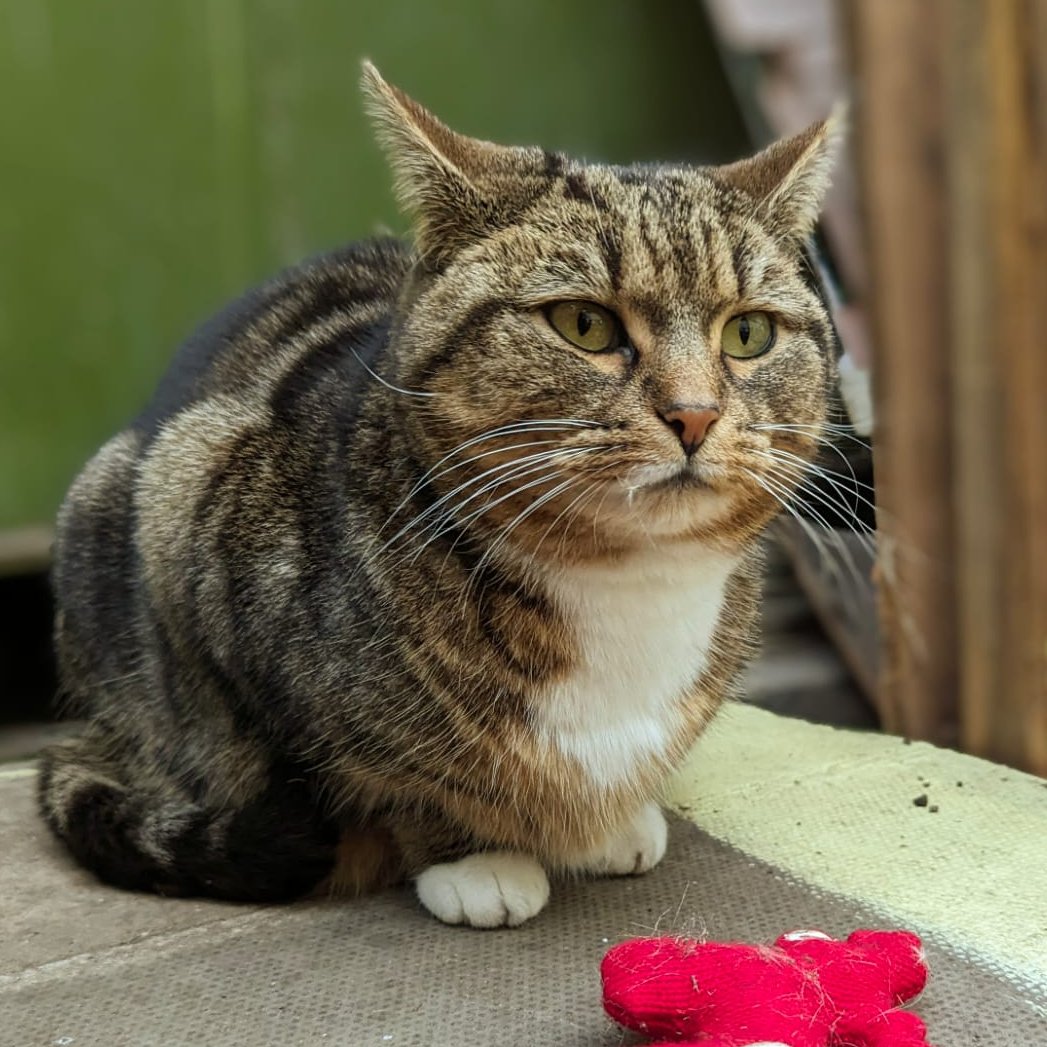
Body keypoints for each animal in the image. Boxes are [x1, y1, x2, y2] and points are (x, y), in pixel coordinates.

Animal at [40, 63, 841, 925]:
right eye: (584, 324)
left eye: (747, 333)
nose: (693, 413)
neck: (630, 585)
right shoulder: (198, 485)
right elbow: (394, 777)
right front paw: (475, 856)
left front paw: (609, 822)